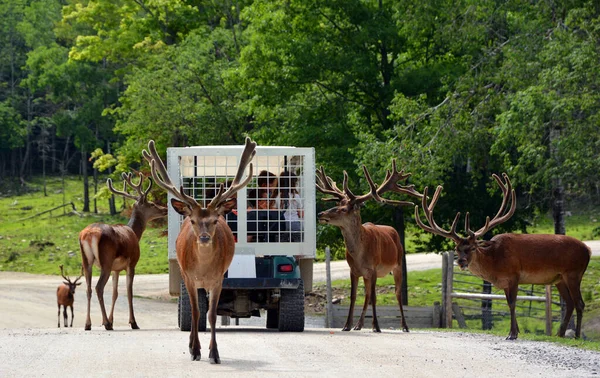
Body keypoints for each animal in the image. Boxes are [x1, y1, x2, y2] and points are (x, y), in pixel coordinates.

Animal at [79, 173, 169, 330]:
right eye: (152, 204)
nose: (165, 209)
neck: (134, 233)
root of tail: (89, 234)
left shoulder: (116, 269)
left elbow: (115, 293)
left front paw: (111, 320)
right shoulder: (132, 263)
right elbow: (129, 292)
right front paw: (133, 322)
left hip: (86, 262)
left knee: (88, 288)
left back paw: (88, 324)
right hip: (106, 261)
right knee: (98, 287)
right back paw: (106, 324)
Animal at [145, 137, 258, 364]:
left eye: (215, 220)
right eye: (193, 221)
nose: (205, 238)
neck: (204, 269)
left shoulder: (218, 279)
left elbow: (212, 315)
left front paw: (214, 353)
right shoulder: (189, 277)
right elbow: (196, 313)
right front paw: (195, 350)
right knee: (194, 311)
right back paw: (190, 346)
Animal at [314, 161, 422, 332]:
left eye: (344, 209)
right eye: (337, 203)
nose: (320, 214)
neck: (360, 254)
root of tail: (395, 232)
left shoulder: (374, 268)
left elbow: (375, 297)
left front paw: (376, 326)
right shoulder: (354, 270)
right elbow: (354, 296)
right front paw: (347, 325)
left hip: (398, 264)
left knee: (397, 293)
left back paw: (405, 326)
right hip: (367, 274)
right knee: (366, 294)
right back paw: (358, 325)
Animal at [414, 173, 588, 340]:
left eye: (472, 247)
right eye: (457, 248)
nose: (461, 261)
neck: (495, 263)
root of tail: (588, 250)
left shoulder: (514, 275)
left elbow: (512, 303)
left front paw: (512, 334)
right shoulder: (505, 282)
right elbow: (508, 302)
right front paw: (515, 331)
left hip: (574, 273)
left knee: (580, 303)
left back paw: (577, 335)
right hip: (559, 278)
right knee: (570, 303)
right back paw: (561, 334)